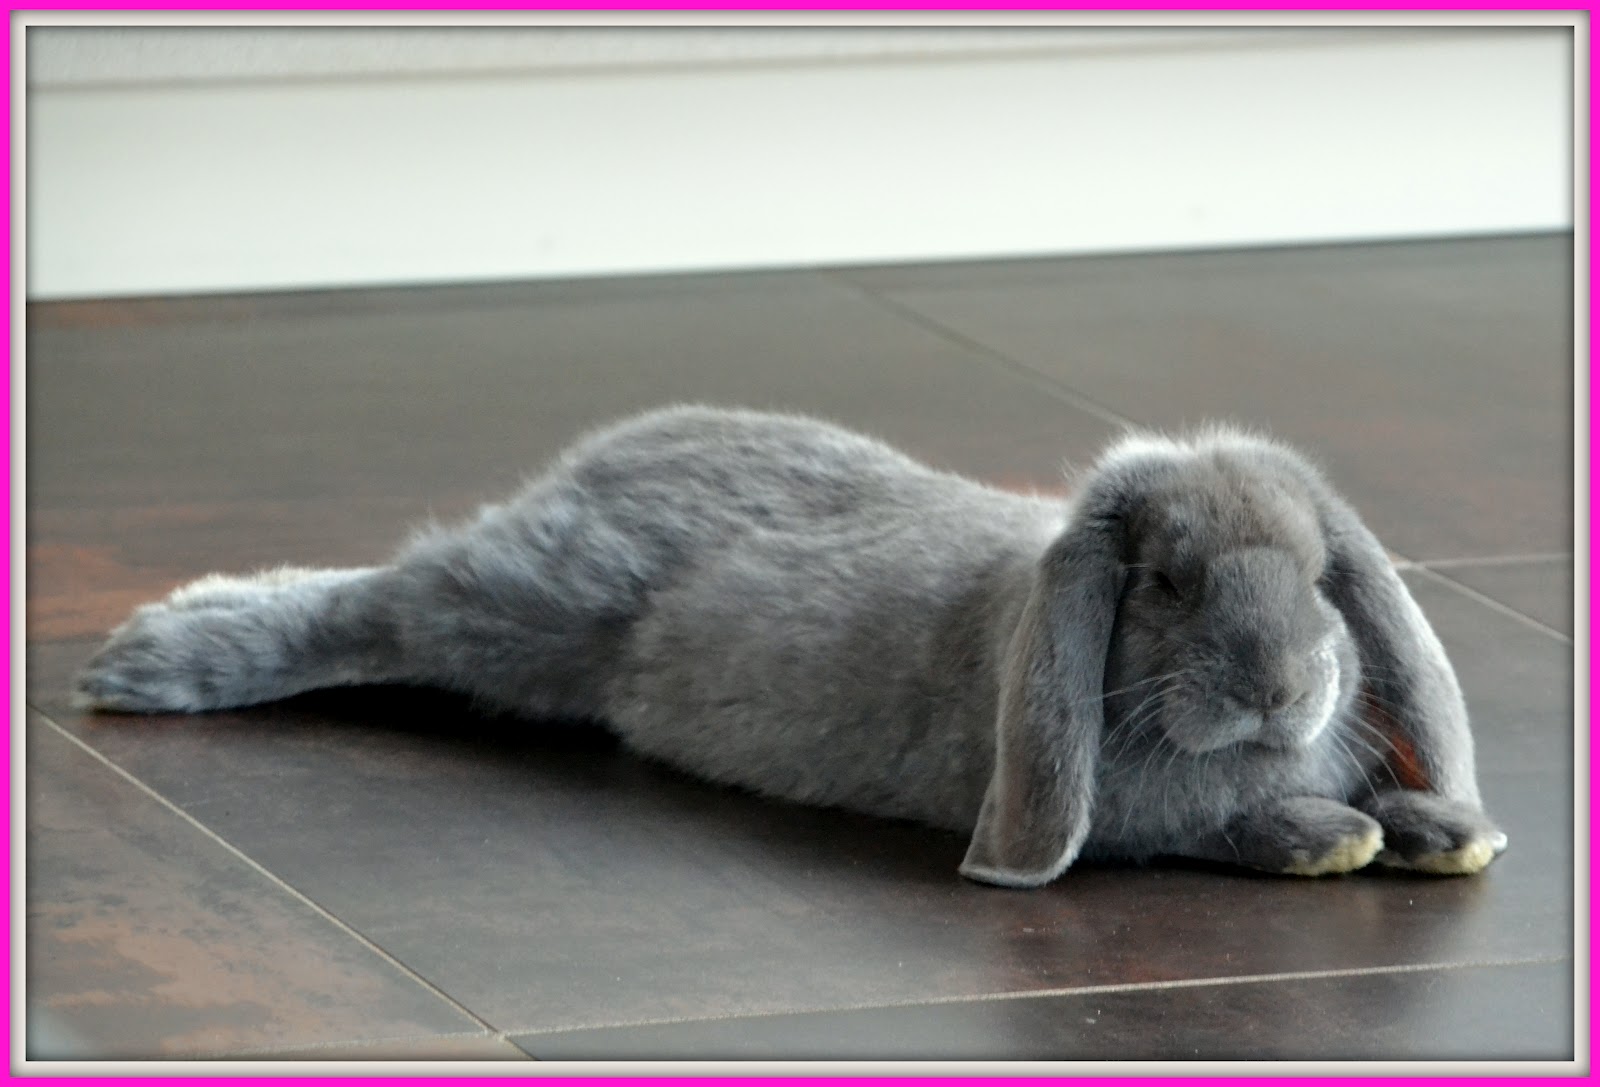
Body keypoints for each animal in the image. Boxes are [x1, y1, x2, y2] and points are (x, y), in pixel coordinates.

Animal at [74, 405, 1506, 887]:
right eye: (1165, 581)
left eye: (1321, 580)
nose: (1282, 688)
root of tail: (610, 448)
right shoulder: (1127, 812)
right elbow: (1206, 826)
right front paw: (1328, 837)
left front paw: (1445, 829)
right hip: (521, 603)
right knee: (376, 599)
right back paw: (146, 658)